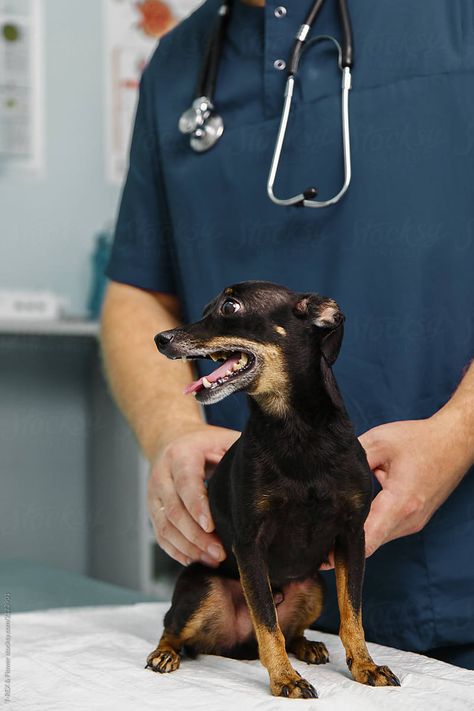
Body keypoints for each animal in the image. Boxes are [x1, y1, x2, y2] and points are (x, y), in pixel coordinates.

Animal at [145, 280, 400, 700]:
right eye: (206, 308)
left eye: (230, 307)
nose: (161, 339)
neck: (296, 429)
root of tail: (236, 647)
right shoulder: (251, 545)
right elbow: (267, 624)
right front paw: (284, 679)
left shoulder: (352, 536)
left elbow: (353, 615)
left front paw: (364, 665)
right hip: (202, 589)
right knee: (173, 628)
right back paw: (165, 654)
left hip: (314, 587)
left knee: (292, 630)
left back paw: (309, 646)